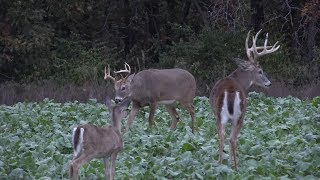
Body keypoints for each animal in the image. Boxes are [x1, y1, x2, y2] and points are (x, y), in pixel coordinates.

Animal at [209, 29, 278, 172]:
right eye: (260, 71)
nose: (269, 83)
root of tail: (230, 91)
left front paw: (227, 162)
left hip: (223, 115)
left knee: (224, 137)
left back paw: (224, 165)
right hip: (239, 116)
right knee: (231, 138)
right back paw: (233, 167)